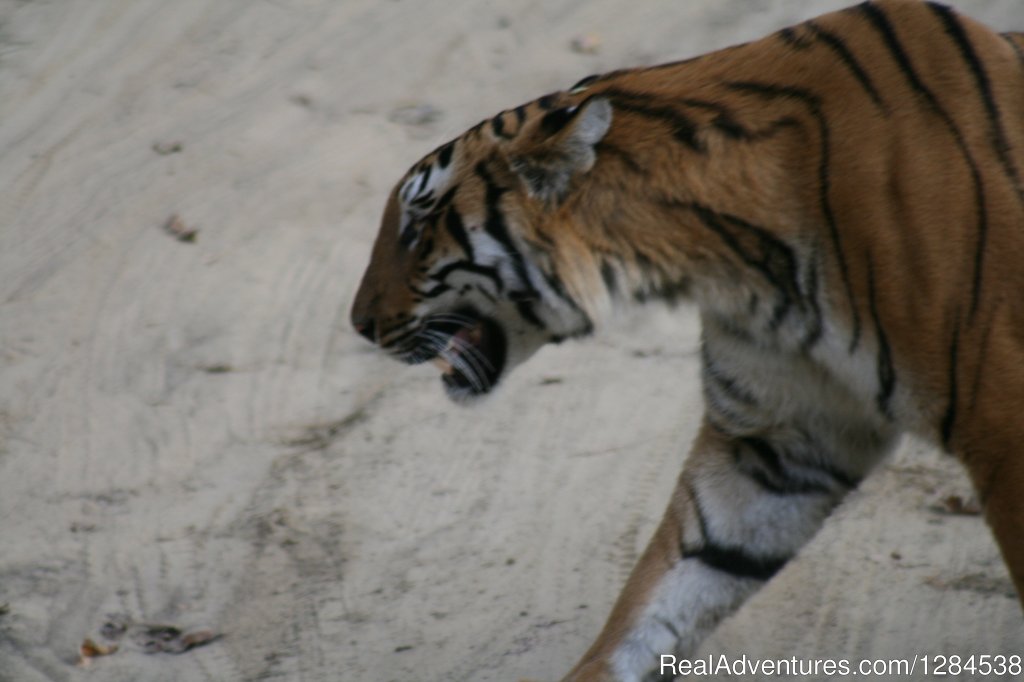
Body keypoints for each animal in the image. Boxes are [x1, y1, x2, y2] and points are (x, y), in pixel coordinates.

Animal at [350, 1, 1024, 675]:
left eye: (417, 224)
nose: (357, 323)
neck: (730, 261)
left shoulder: (1002, 429)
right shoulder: (780, 437)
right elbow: (669, 586)